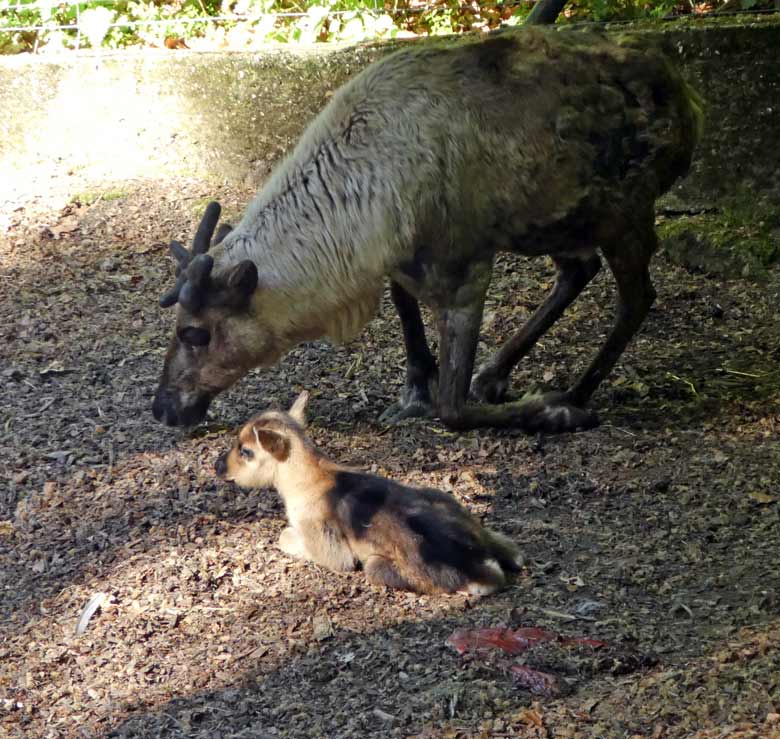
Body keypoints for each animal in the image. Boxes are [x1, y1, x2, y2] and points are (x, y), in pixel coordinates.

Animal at [215, 394, 516, 596]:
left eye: (246, 451)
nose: (218, 466)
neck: (303, 484)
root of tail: (483, 566)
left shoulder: (327, 544)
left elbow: (285, 536)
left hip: (376, 566)